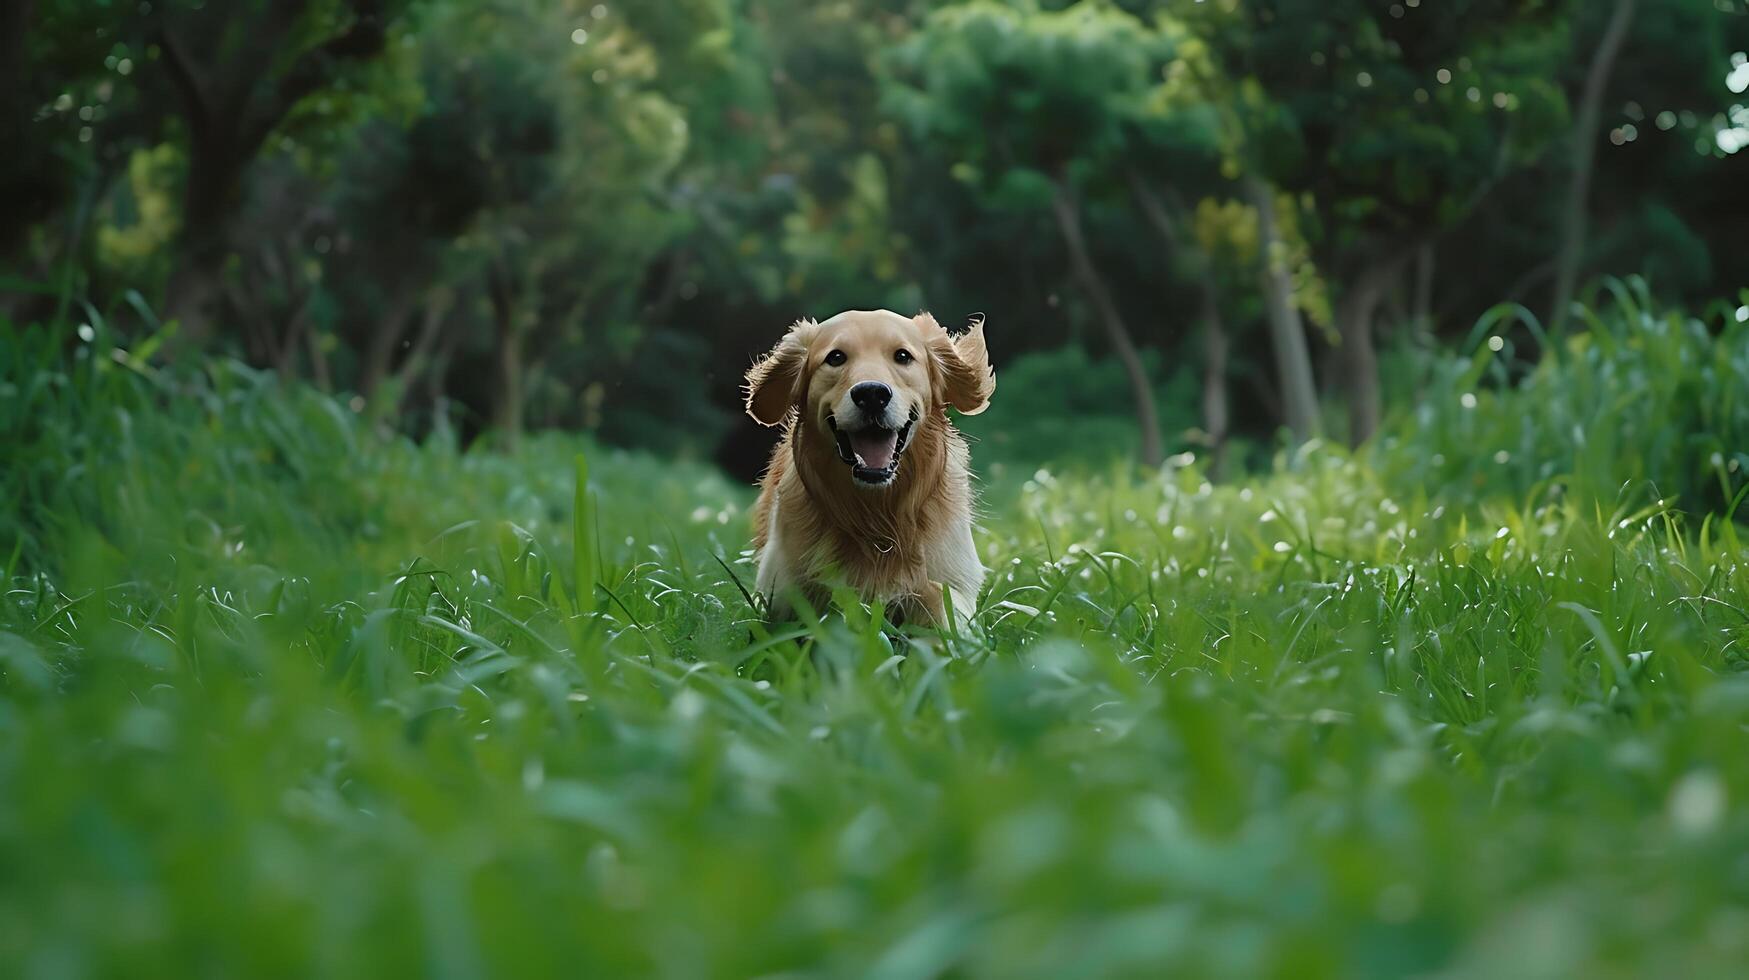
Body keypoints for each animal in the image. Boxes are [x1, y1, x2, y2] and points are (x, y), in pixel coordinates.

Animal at [741, 308, 1000, 626]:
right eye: (836, 357)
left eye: (902, 356)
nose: (872, 394)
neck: (876, 517)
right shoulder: (782, 591)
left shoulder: (953, 578)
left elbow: (937, 598)